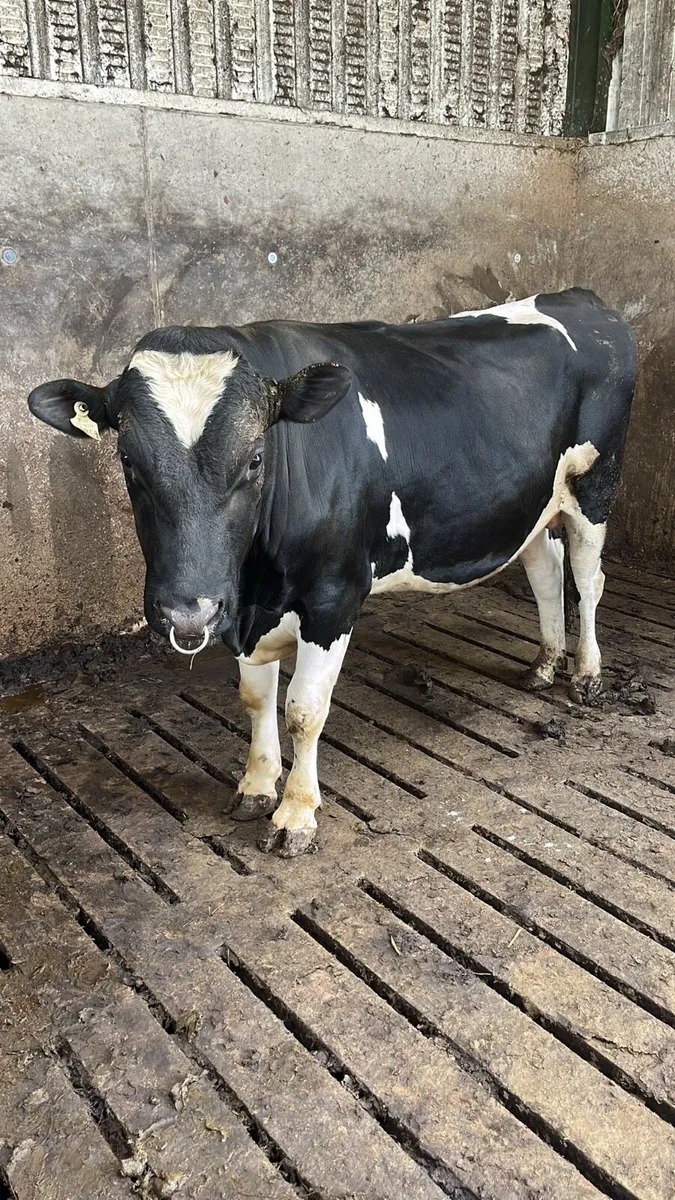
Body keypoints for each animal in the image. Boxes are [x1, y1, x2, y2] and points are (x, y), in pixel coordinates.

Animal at [28, 288, 636, 857]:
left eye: (256, 458)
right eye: (128, 460)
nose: (189, 611)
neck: (256, 588)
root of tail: (579, 298)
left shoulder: (332, 597)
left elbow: (303, 710)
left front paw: (295, 815)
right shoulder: (244, 611)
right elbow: (255, 699)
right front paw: (256, 786)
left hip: (595, 485)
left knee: (588, 579)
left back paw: (585, 674)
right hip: (530, 502)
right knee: (545, 570)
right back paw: (544, 664)